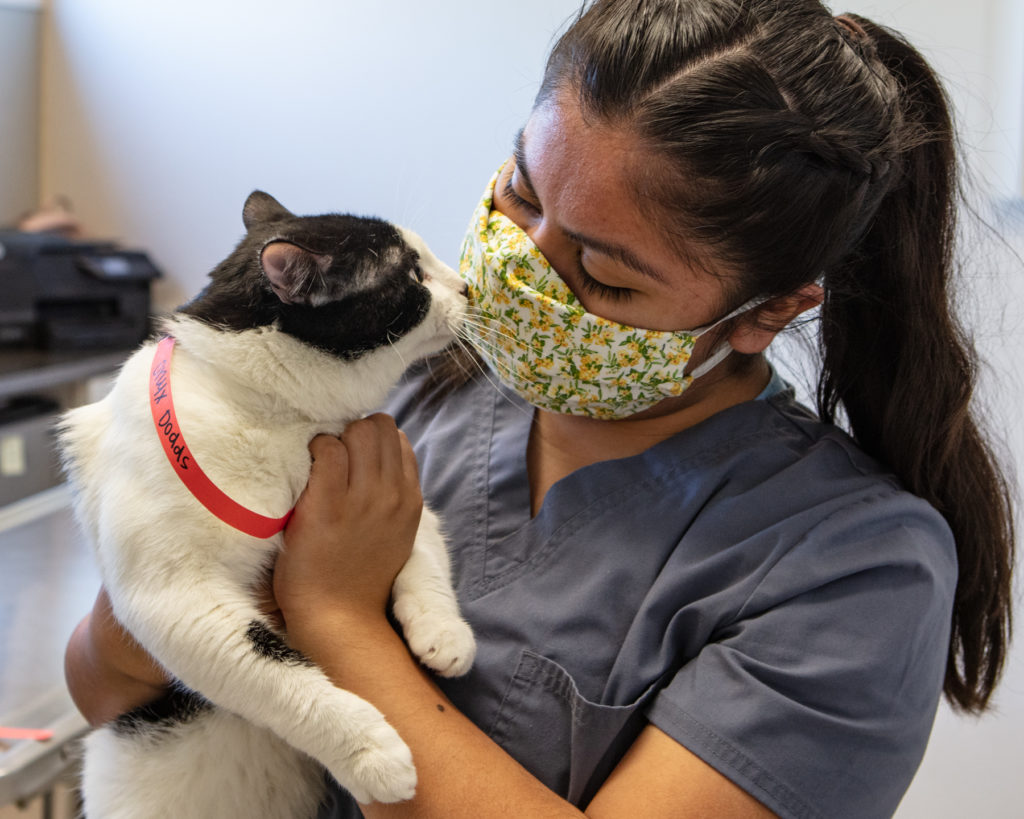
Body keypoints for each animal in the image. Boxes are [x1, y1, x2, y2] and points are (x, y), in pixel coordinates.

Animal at [61, 193, 477, 818]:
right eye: (414, 276)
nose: (467, 287)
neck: (275, 413)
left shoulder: (406, 495)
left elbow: (425, 552)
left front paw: (444, 633)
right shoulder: (174, 597)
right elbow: (273, 671)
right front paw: (369, 751)